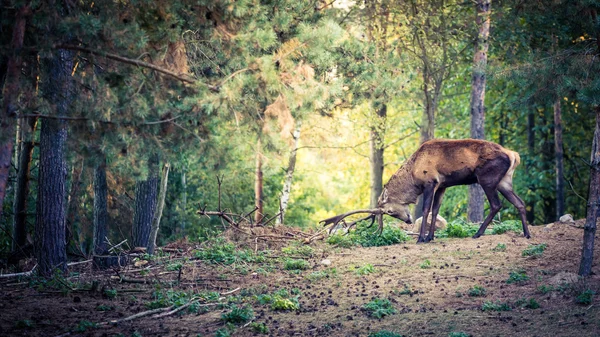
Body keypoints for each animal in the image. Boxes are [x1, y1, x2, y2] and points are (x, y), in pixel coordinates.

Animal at [322, 138, 532, 243]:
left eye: (389, 210)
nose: (407, 220)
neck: (414, 175)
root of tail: (514, 155)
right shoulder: (442, 185)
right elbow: (436, 210)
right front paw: (431, 236)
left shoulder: (430, 181)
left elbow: (425, 210)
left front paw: (421, 238)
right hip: (504, 181)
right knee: (520, 202)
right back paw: (526, 233)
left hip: (487, 178)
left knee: (497, 204)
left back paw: (478, 233)